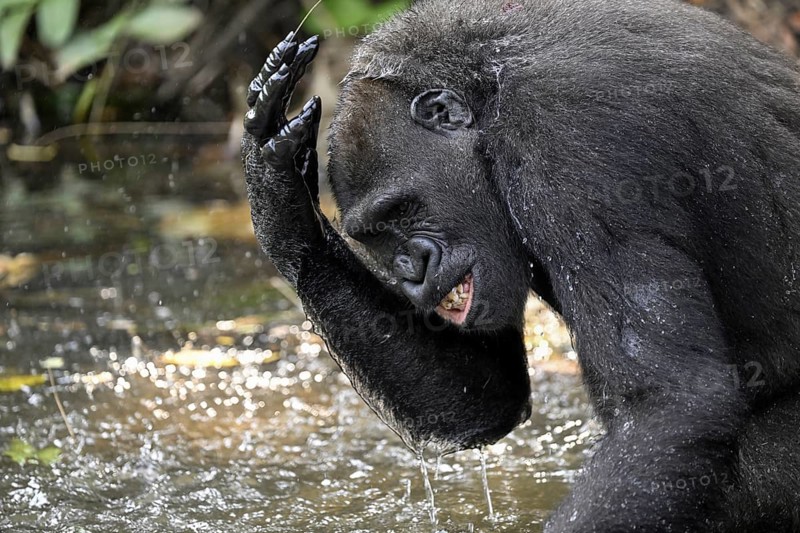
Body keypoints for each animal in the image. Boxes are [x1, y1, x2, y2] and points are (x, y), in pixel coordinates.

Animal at [241, 0, 800, 530]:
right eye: (373, 236)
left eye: (398, 211)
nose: (409, 271)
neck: (490, 96)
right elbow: (489, 398)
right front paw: (277, 192)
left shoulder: (565, 143)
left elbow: (672, 403)